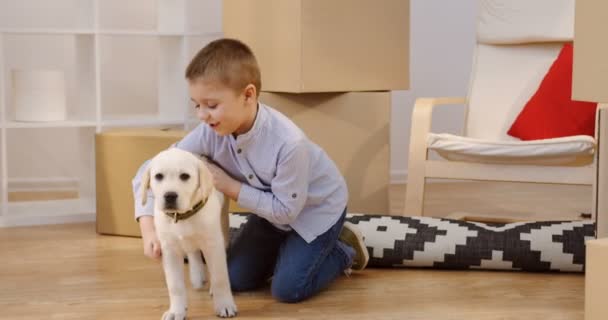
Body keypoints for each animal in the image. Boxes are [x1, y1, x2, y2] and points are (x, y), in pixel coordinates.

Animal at [140, 149, 238, 318]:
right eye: (158, 176)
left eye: (185, 176)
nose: (170, 196)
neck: (182, 216)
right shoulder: (170, 251)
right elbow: (175, 286)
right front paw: (176, 311)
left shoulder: (213, 246)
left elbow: (220, 278)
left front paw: (225, 305)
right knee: (193, 251)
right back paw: (197, 274)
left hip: (223, 224)